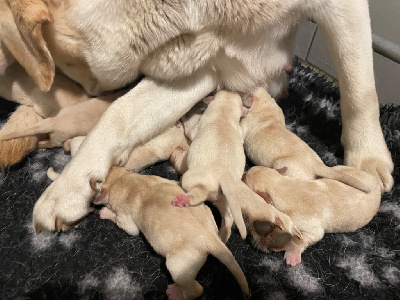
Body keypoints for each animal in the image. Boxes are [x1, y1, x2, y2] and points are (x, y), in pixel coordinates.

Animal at [94, 166, 250, 300]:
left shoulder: (124, 215)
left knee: (196, 289)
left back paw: (176, 293)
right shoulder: (160, 179)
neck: (126, 181)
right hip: (208, 215)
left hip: (180, 265)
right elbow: (173, 182)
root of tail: (210, 238)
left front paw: (105, 212)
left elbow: (129, 228)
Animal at [244, 166, 382, 268]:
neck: (281, 187)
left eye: (245, 178)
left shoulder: (305, 222)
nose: (243, 172)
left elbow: (312, 236)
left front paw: (293, 253)